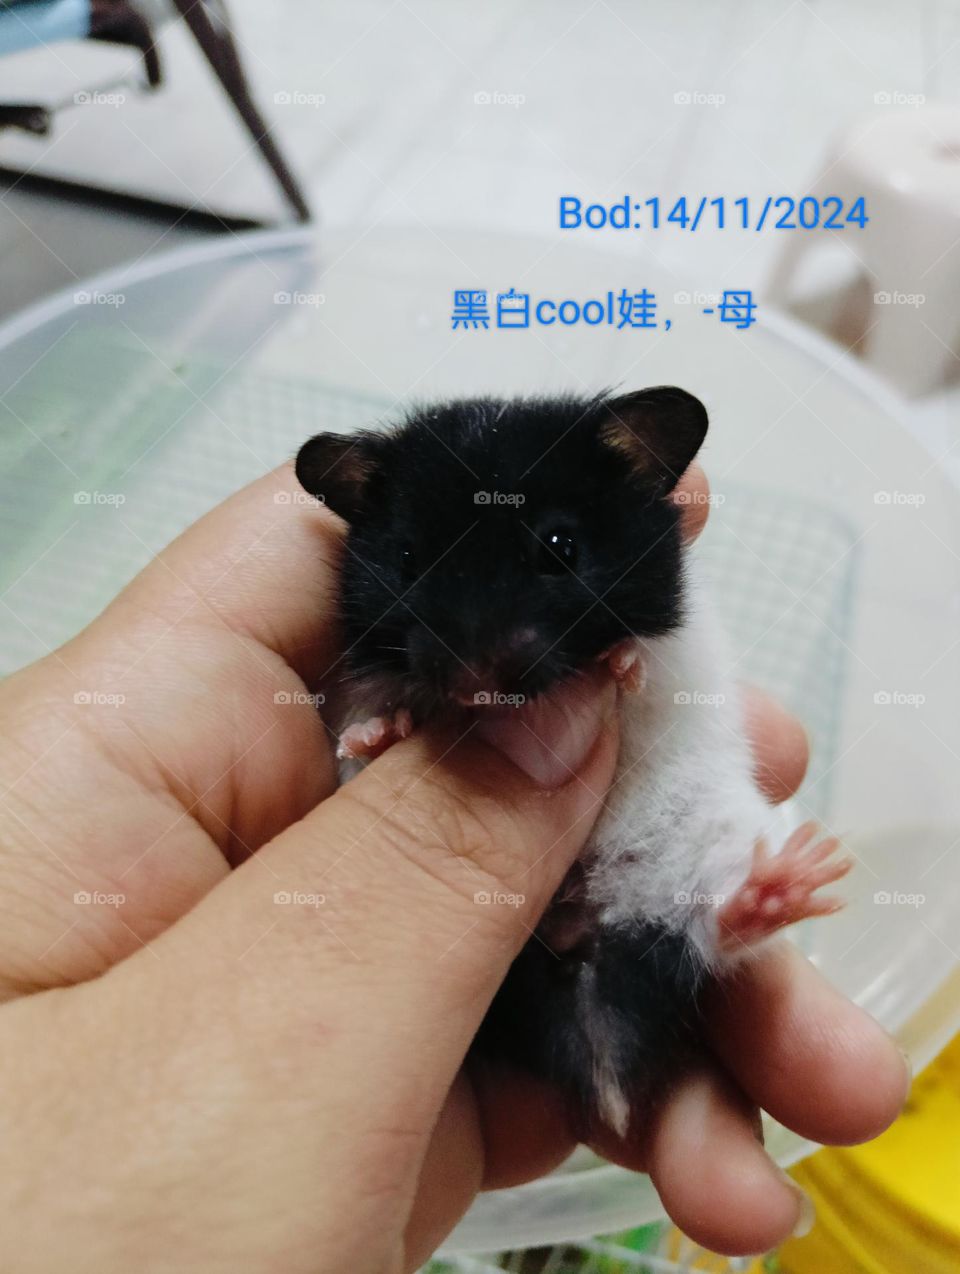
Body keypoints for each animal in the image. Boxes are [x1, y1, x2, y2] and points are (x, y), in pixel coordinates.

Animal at [293, 387, 849, 1137]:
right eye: (408, 560)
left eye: (560, 548)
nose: (473, 683)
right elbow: (378, 715)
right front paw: (375, 735)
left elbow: (646, 661)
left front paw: (620, 665)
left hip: (707, 841)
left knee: (718, 931)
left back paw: (792, 878)